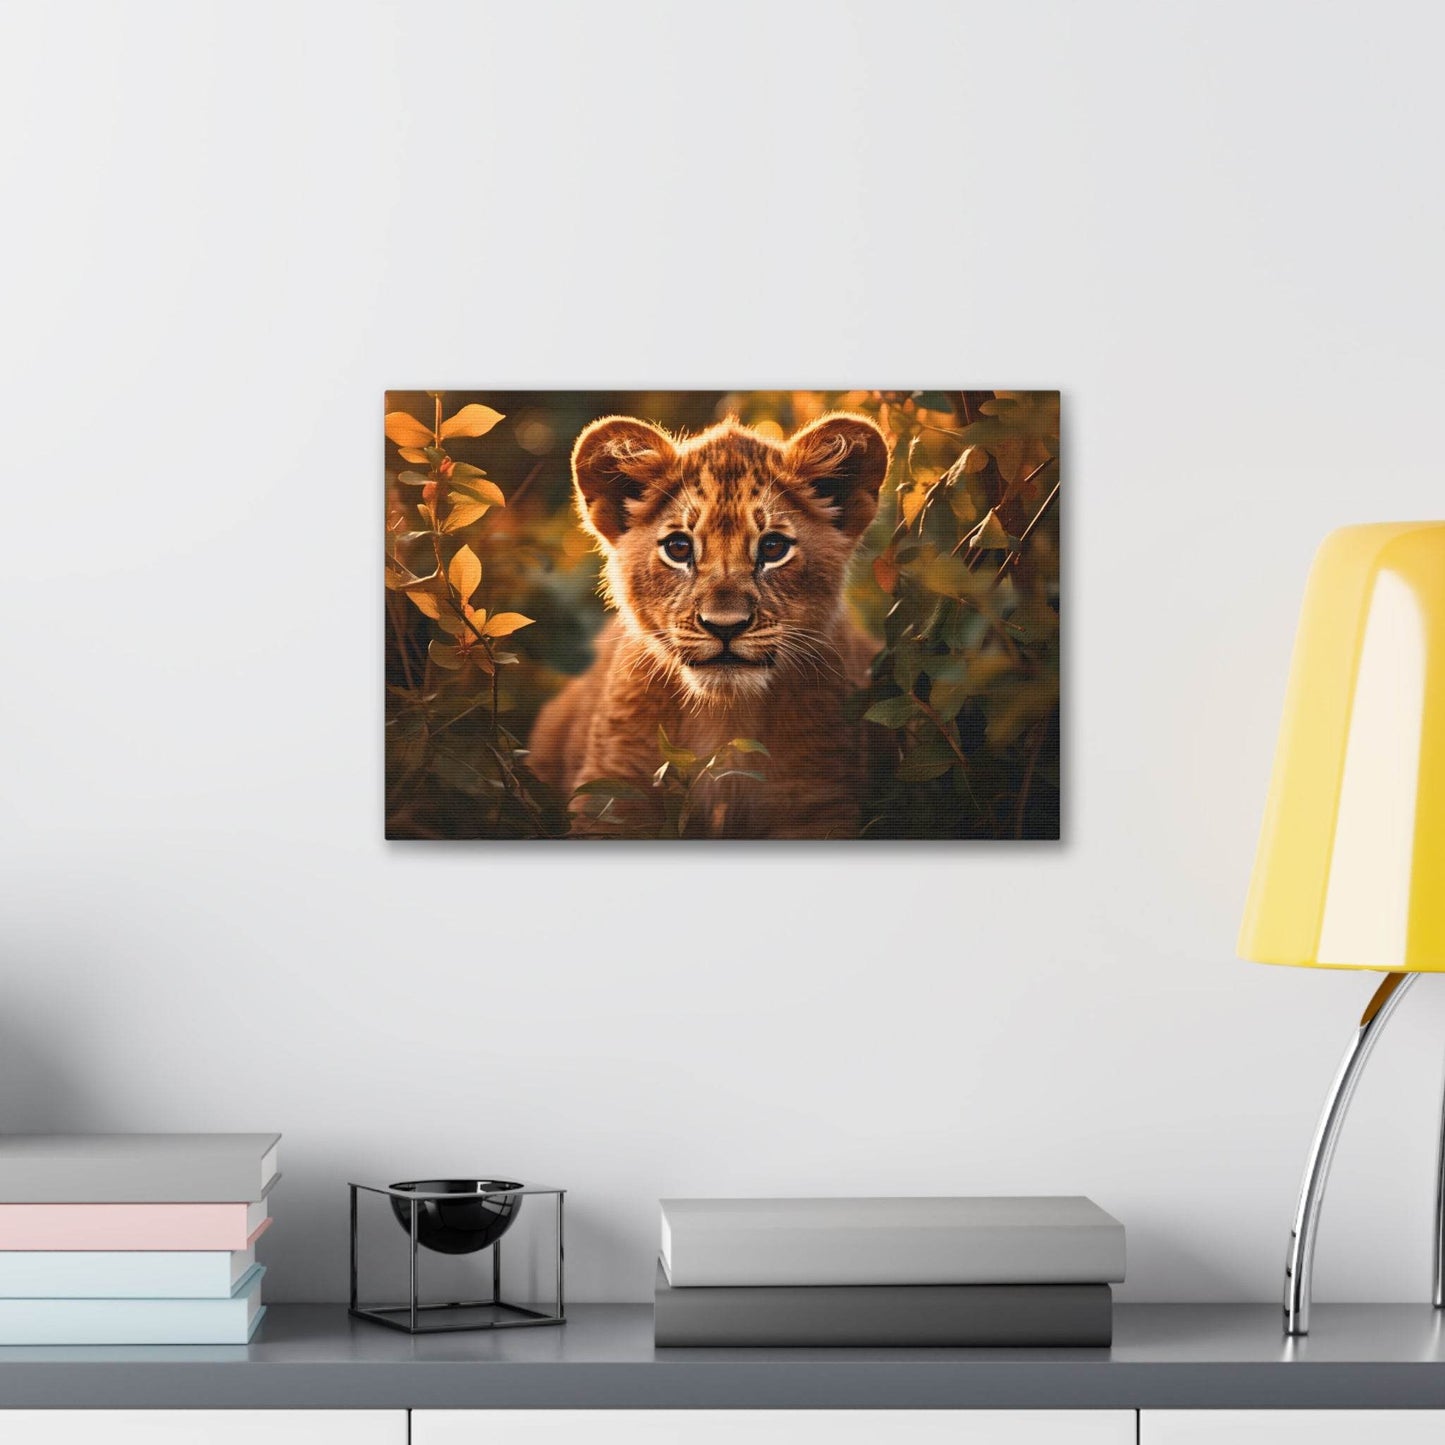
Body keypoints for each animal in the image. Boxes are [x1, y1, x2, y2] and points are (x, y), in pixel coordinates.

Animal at [528, 412, 889, 838]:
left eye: (773, 548)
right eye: (679, 548)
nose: (725, 626)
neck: (725, 718)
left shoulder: (820, 801)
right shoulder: (613, 794)